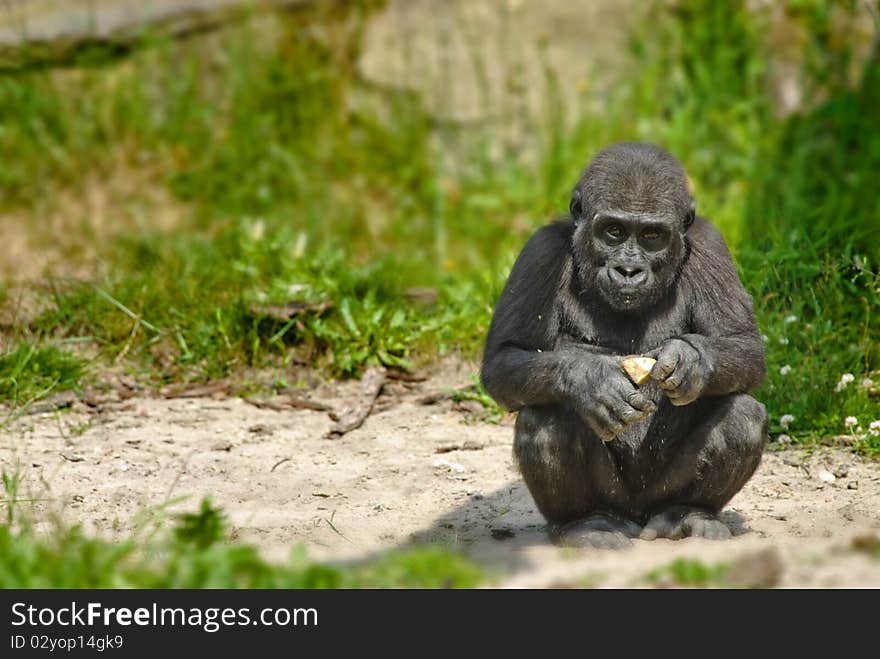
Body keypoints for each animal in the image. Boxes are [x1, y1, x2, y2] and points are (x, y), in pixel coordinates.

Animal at [482, 142, 768, 548]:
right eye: (613, 232)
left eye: (651, 236)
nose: (628, 270)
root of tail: (636, 518)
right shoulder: (539, 251)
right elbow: (504, 358)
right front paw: (590, 380)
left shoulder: (711, 245)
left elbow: (745, 346)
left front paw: (689, 361)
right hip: (615, 499)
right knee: (546, 416)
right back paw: (585, 523)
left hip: (657, 497)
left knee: (743, 415)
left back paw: (689, 513)